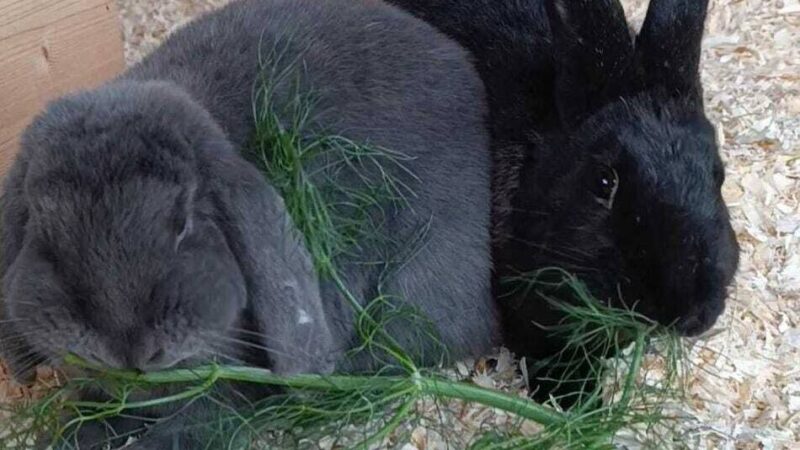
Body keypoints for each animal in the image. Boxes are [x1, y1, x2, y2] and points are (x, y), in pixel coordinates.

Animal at [0, 0, 500, 447]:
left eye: (183, 224)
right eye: (45, 229)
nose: (127, 350)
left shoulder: (224, 394)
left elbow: (197, 426)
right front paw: (68, 434)